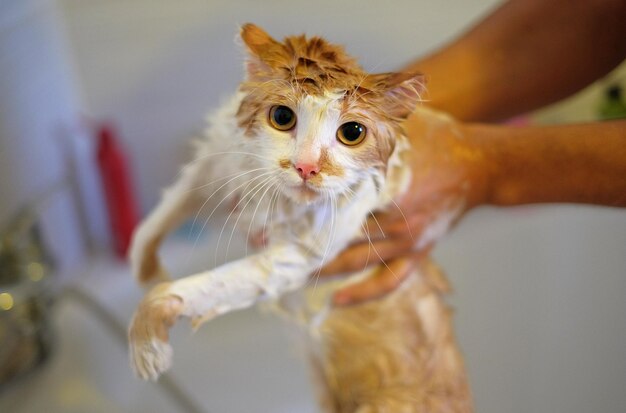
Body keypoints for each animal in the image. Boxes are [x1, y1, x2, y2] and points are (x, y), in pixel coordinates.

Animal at [127, 23, 468, 412]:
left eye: (352, 133)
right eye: (282, 117)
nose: (307, 167)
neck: (279, 200)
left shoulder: (297, 255)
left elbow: (197, 288)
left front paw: (148, 344)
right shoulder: (216, 165)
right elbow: (154, 222)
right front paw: (147, 270)